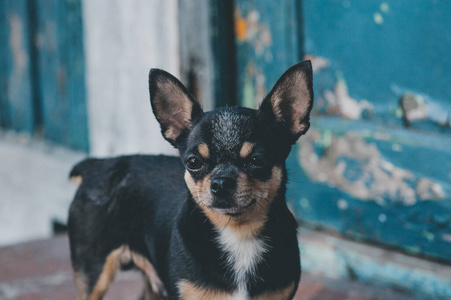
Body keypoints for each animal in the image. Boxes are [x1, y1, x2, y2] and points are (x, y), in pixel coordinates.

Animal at [68, 59, 314, 298]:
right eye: (193, 162)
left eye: (257, 160)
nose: (220, 183)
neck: (238, 234)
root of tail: (97, 164)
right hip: (94, 275)